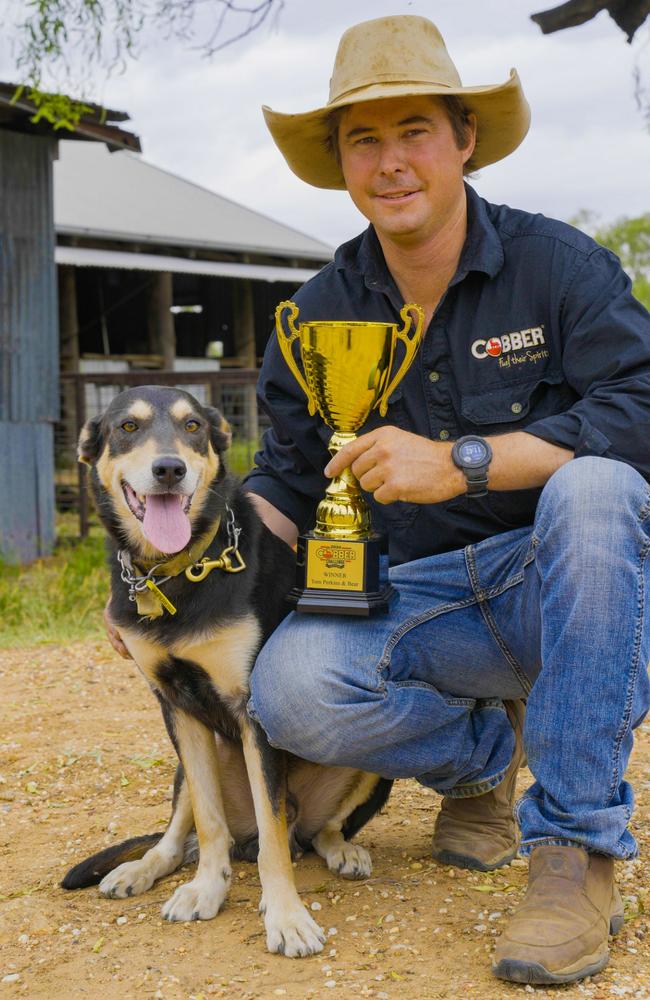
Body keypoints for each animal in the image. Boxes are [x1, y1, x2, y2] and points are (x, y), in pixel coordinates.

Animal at [63, 386, 390, 956]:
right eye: (128, 427)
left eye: (192, 426)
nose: (169, 469)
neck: (179, 570)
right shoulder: (177, 708)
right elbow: (209, 821)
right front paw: (207, 889)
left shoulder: (250, 708)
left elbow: (272, 837)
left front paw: (286, 916)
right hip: (187, 761)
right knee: (179, 835)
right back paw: (139, 868)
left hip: (372, 762)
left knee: (318, 831)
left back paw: (341, 850)